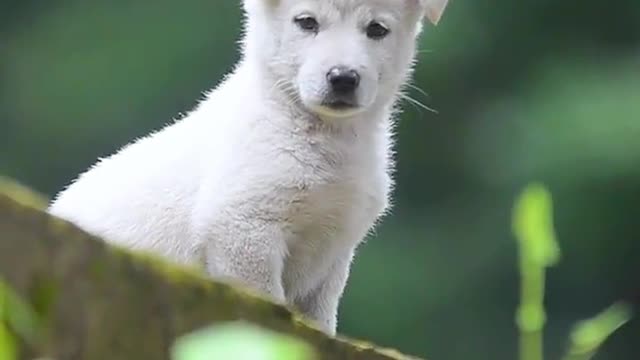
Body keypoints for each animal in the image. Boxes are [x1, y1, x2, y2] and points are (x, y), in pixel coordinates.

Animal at [48, 0, 450, 336]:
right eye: (306, 22)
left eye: (377, 29)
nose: (343, 78)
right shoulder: (243, 227)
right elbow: (267, 300)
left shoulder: (334, 250)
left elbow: (321, 318)